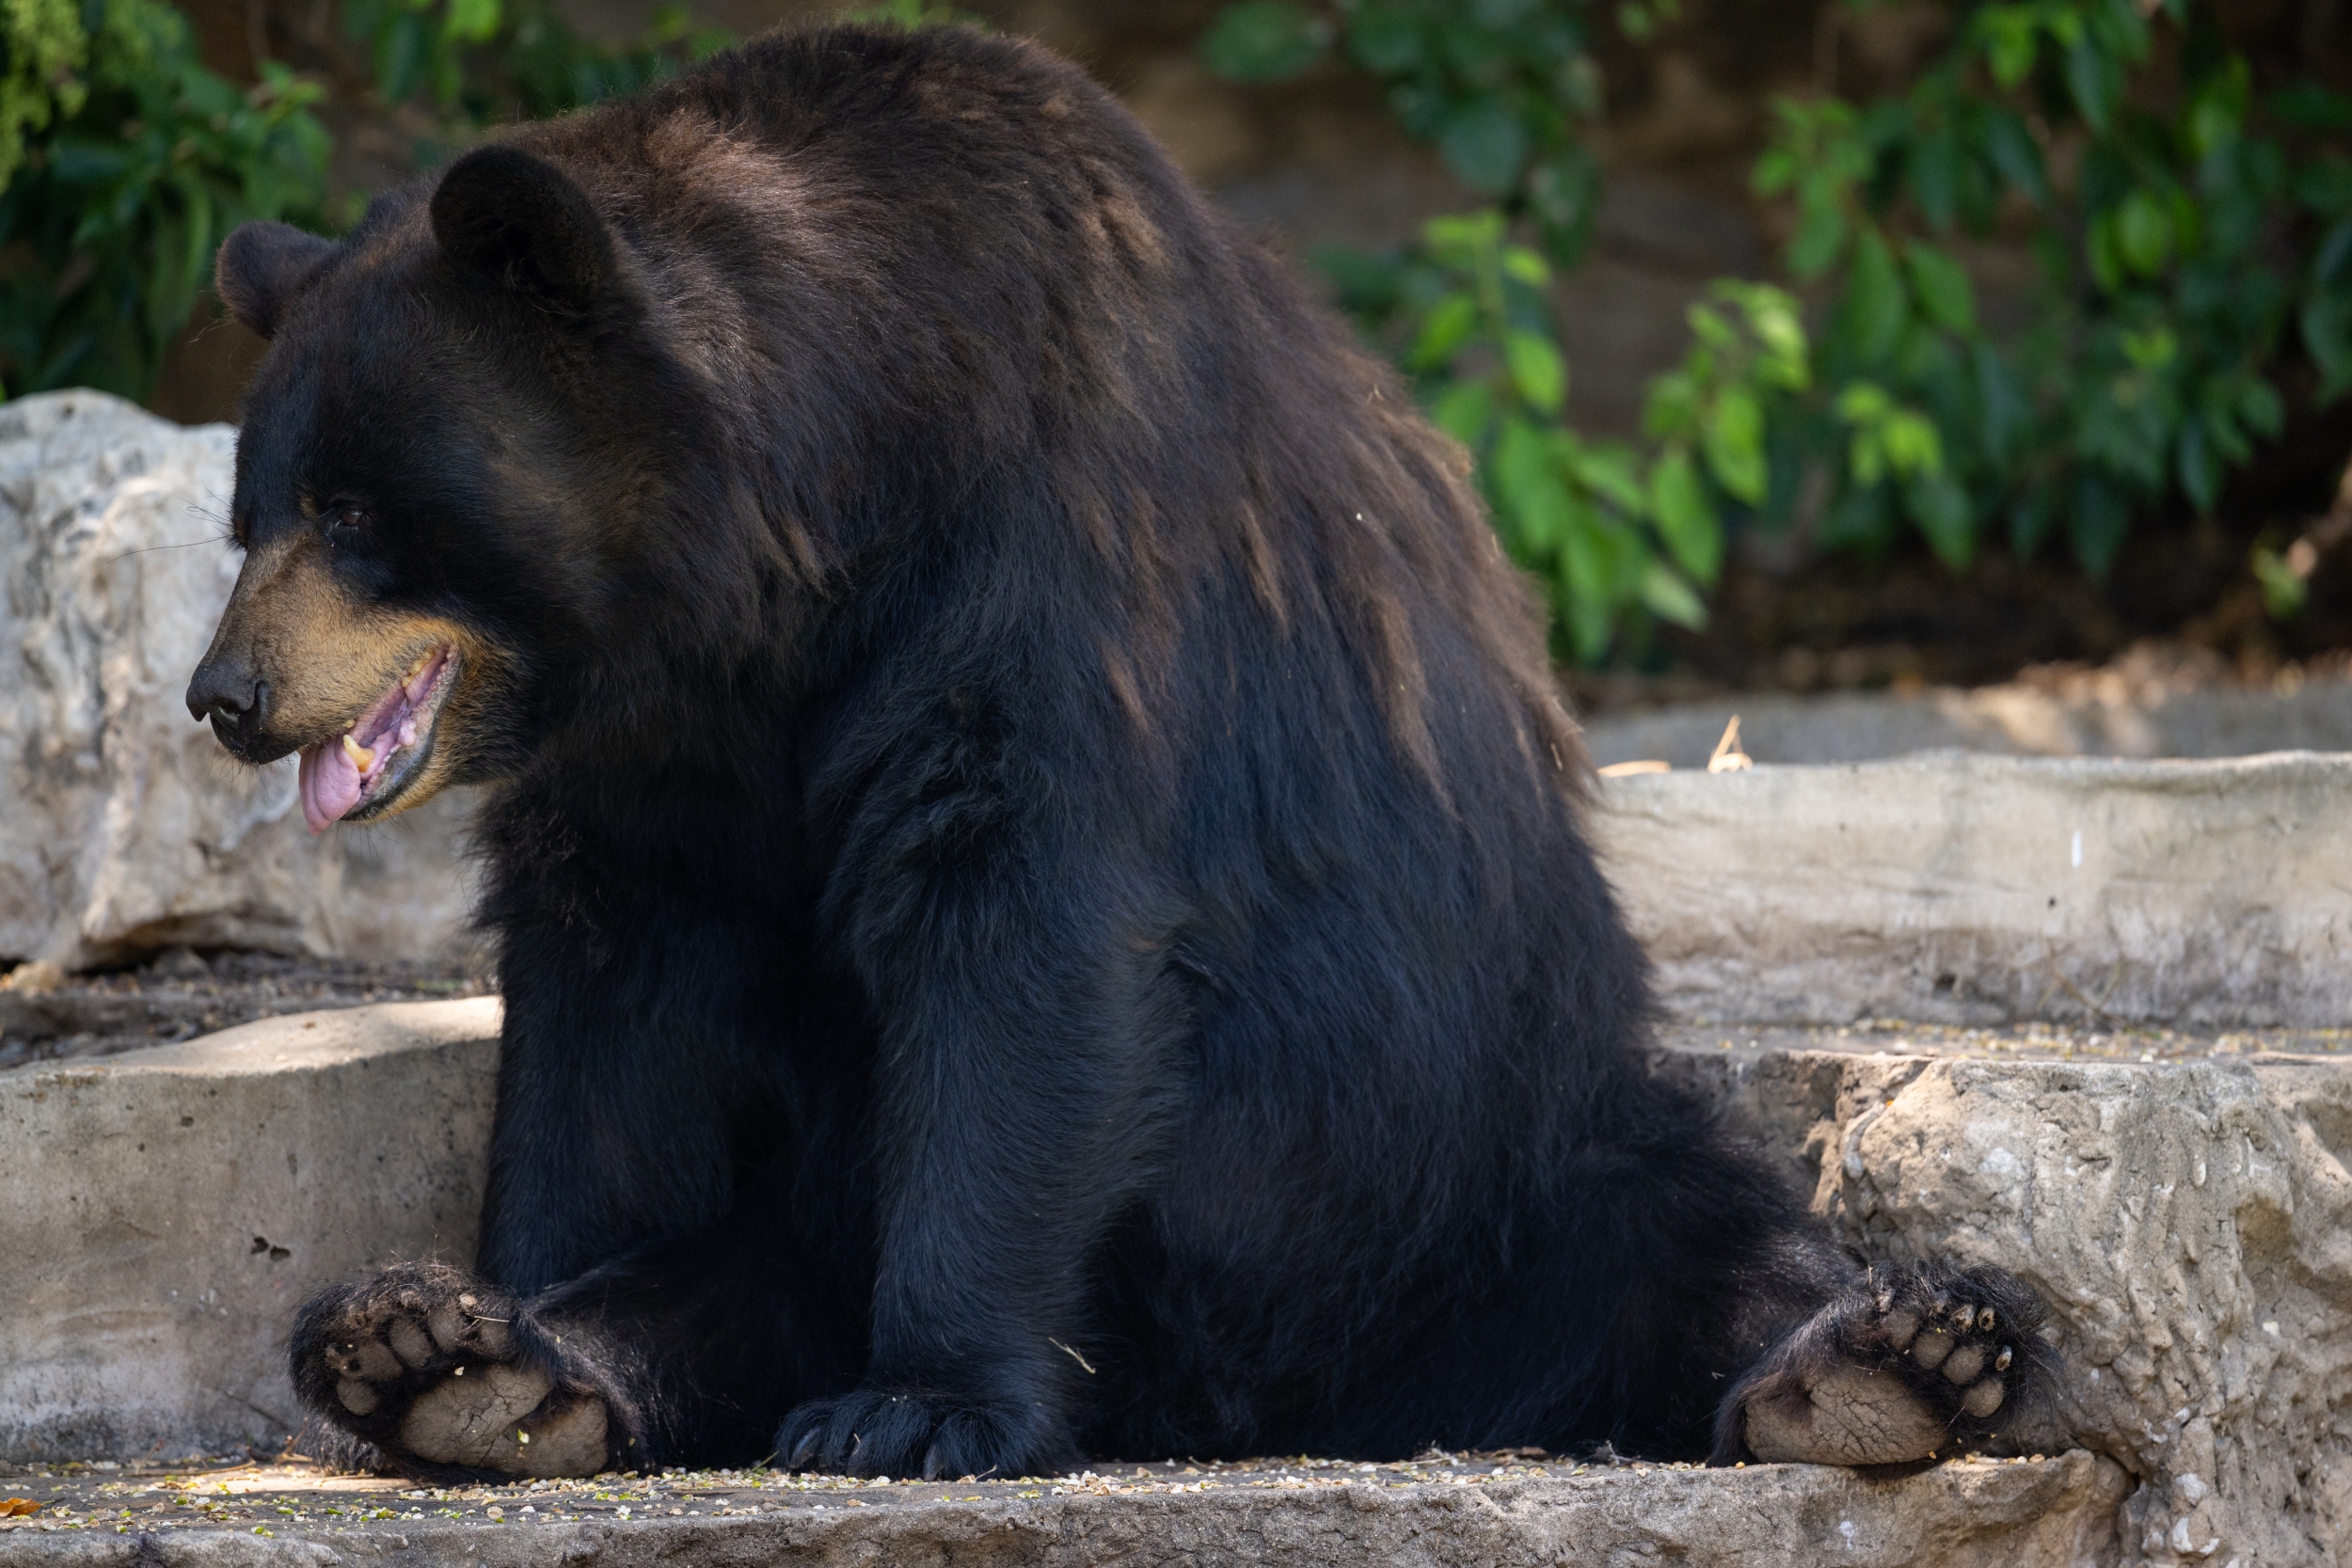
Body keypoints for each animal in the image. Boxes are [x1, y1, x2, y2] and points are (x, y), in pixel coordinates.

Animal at [187, 20, 2052, 1483]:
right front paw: (506, 1302)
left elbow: (1026, 915)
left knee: (1687, 1229)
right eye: (251, 509)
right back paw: (455, 1363)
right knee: (746, 1268)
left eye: (355, 512)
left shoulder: (1041, 547)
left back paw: (1880, 1365)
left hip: (1483, 1136)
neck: (774, 576)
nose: (221, 694)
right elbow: (609, 1017)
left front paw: (920, 1405)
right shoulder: (665, 765)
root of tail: (1305, 1403)